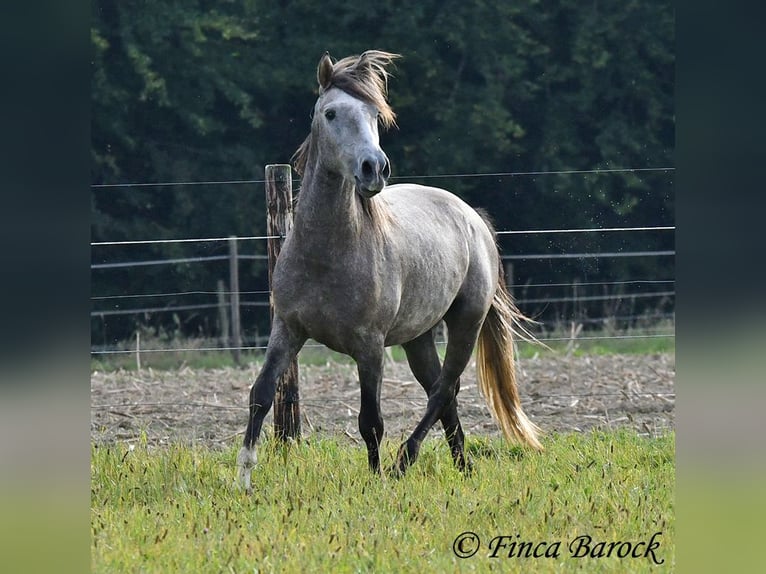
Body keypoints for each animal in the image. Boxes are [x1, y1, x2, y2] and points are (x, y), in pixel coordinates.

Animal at [237, 50, 544, 490]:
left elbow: (371, 421)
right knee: (443, 391)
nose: (374, 169)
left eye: (375, 115)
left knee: (443, 389)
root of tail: (472, 217)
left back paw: (405, 461)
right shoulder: (287, 330)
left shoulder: (369, 347)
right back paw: (462, 465)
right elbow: (261, 393)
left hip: (466, 322)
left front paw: (376, 478)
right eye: (330, 113)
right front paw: (244, 477)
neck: (326, 254)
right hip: (417, 338)